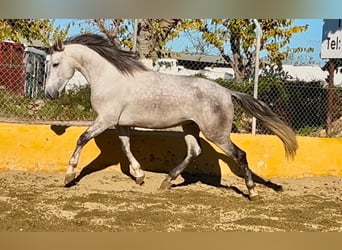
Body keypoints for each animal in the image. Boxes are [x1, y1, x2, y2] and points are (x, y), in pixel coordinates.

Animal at [44, 33, 296, 199]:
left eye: (55, 64)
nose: (49, 94)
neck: (110, 78)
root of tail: (227, 92)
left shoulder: (105, 120)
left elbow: (82, 139)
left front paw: (68, 176)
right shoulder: (121, 124)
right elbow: (125, 147)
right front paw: (139, 175)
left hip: (216, 133)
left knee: (240, 154)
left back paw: (252, 192)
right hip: (190, 127)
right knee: (194, 151)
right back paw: (167, 181)